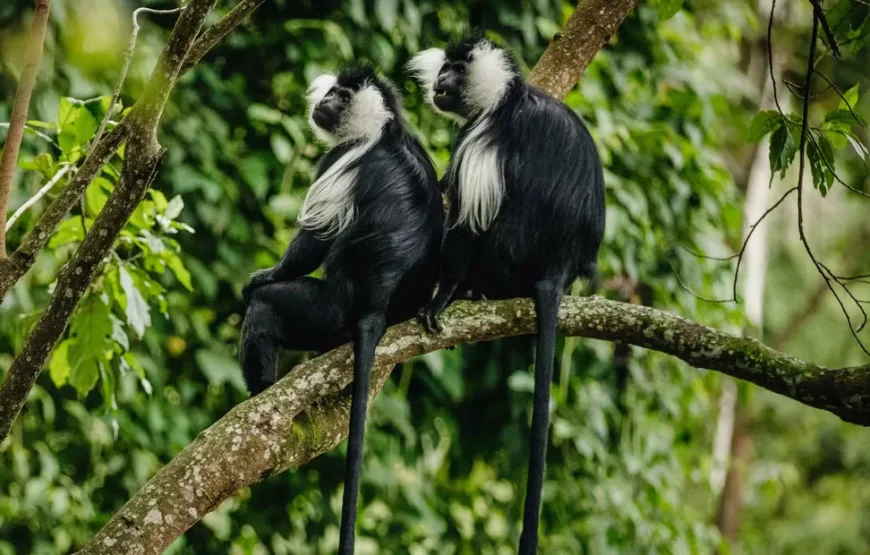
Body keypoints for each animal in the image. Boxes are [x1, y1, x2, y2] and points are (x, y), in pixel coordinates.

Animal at [239, 65, 443, 554]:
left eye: (342, 96)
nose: (325, 101)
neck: (384, 129)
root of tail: (375, 307)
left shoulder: (340, 161)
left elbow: (312, 242)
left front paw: (262, 277)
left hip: (325, 310)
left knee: (268, 311)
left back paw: (260, 391)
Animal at [408, 36, 605, 553]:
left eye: (456, 71)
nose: (439, 82)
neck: (505, 98)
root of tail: (557, 267)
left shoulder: (482, 138)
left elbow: (465, 221)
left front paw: (441, 297)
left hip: (506, 255)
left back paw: (469, 290)